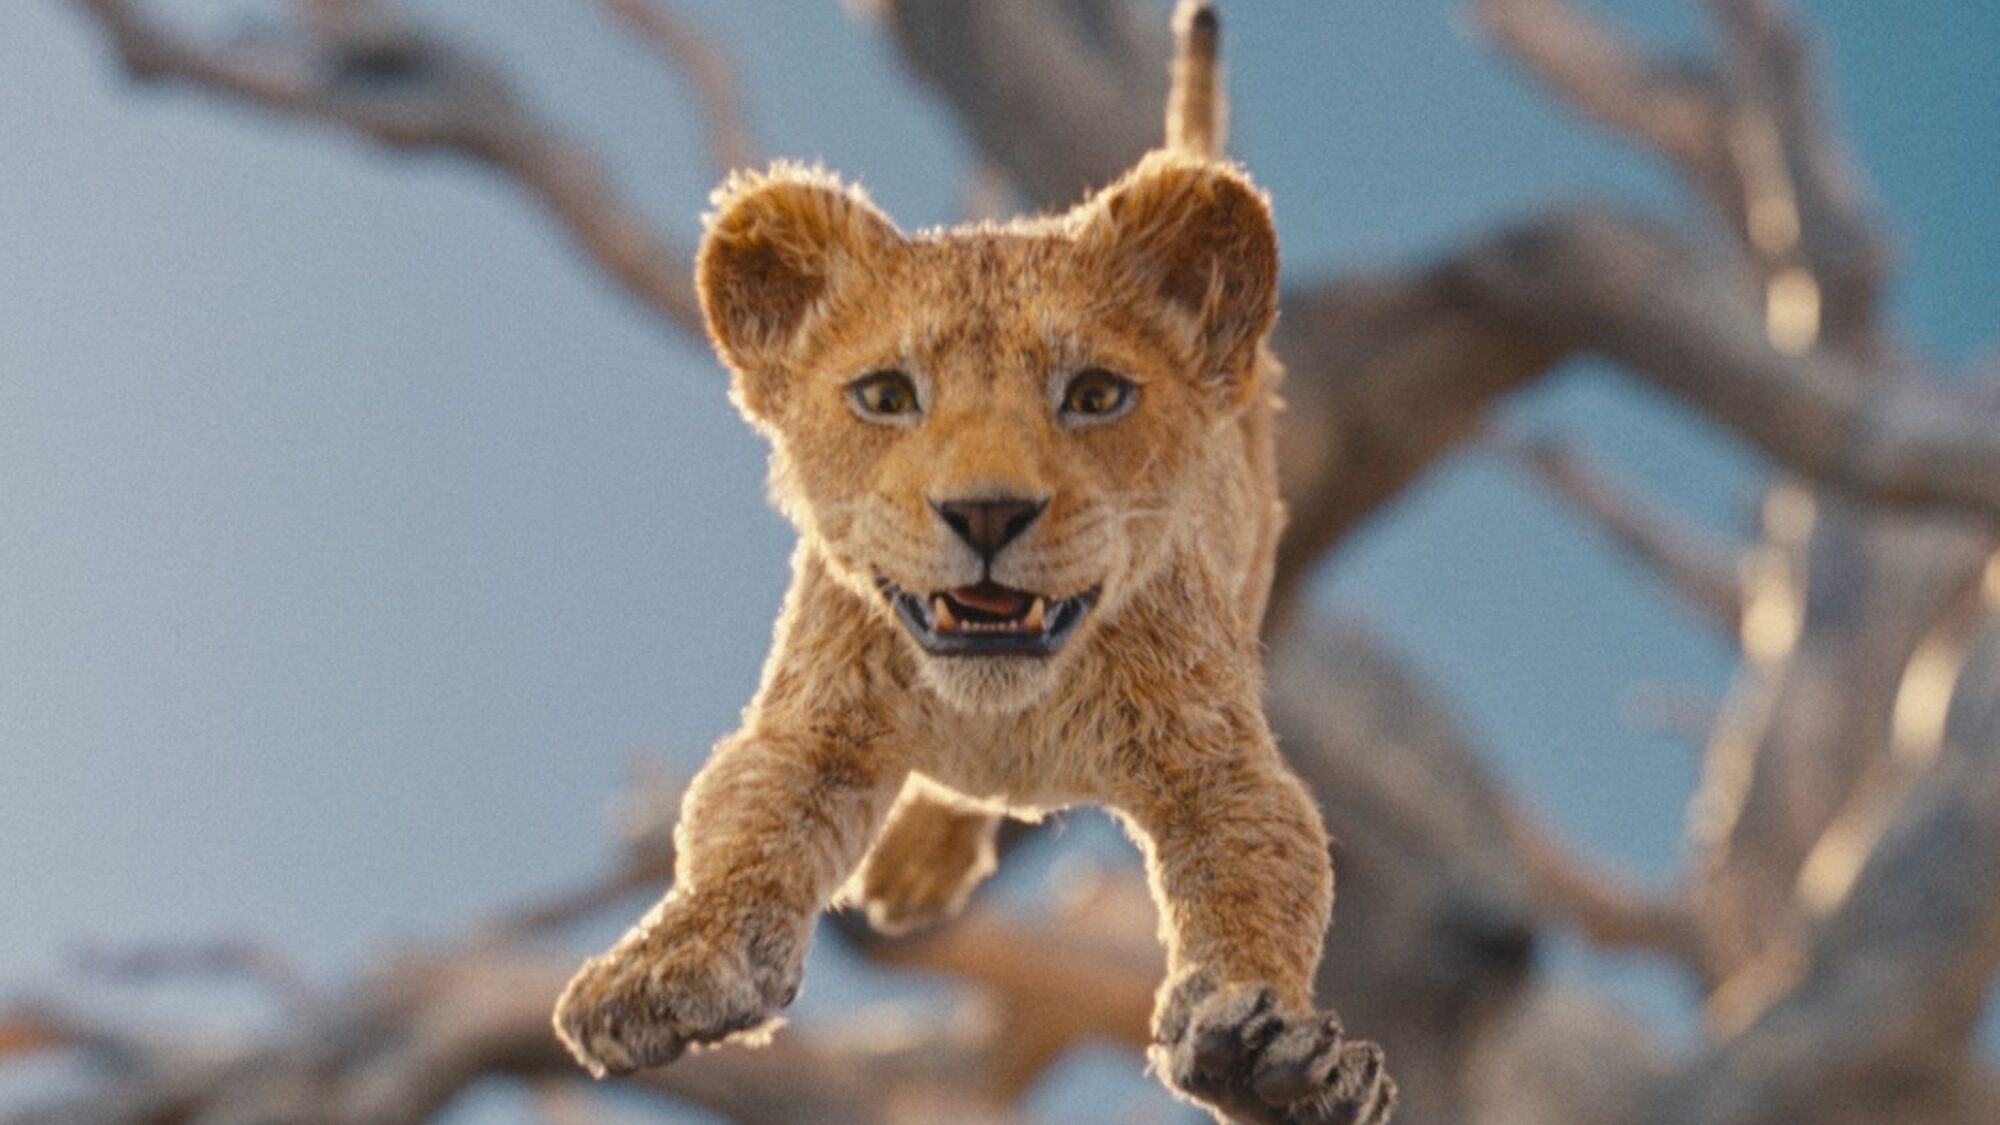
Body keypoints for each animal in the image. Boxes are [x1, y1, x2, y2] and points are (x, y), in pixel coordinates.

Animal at [553, 5, 1394, 1123]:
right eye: (884, 396)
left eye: (1094, 396)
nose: (986, 511)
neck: (1007, 712)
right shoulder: (813, 722)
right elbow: (739, 829)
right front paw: (663, 968)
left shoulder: (1215, 757)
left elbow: (1264, 872)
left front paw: (1266, 1050)